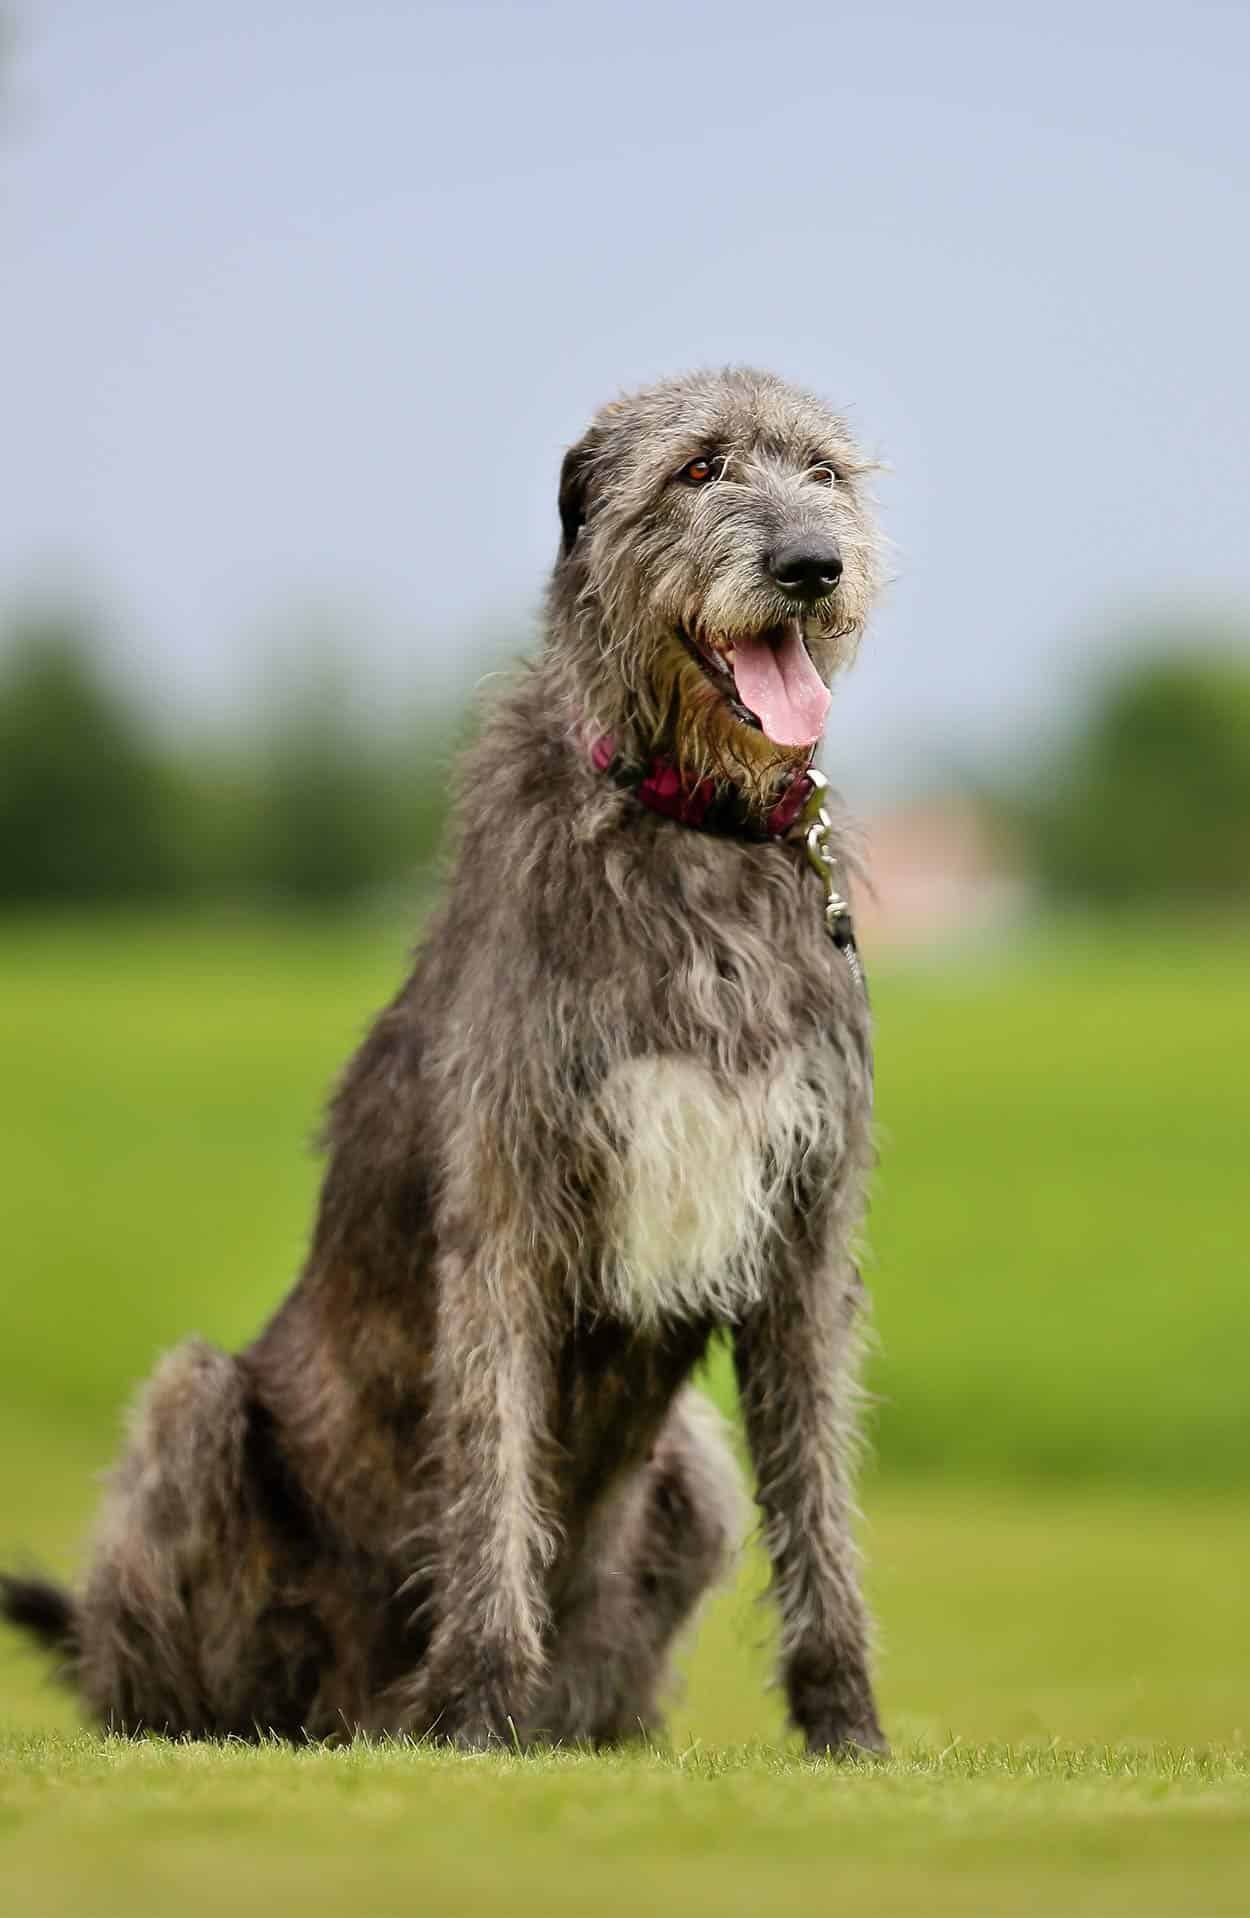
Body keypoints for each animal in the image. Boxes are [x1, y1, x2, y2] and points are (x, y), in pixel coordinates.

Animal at [2, 366, 889, 1756]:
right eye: (696, 469)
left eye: (824, 474)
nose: (812, 565)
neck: (691, 828)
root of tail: (352, 1709)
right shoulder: (508, 1206)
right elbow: (490, 1461)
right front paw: (476, 1703)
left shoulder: (804, 1226)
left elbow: (818, 1496)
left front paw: (847, 1727)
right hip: (194, 1412)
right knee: (163, 1646)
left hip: (688, 1469)